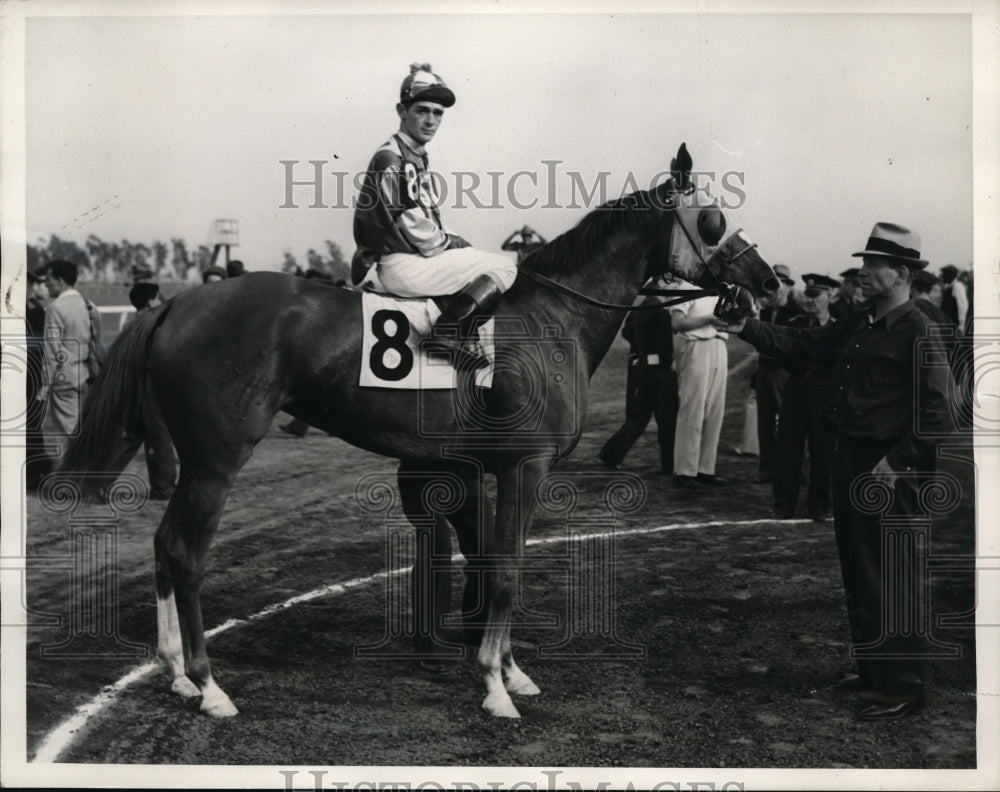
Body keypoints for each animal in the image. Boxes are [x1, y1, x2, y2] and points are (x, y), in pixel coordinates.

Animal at [58, 142, 780, 716]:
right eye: (714, 218)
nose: (766, 278)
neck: (555, 318)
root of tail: (178, 301)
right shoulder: (526, 466)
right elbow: (508, 569)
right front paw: (494, 688)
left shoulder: (486, 470)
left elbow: (494, 562)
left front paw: (511, 672)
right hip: (215, 458)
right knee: (184, 551)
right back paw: (208, 687)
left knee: (162, 545)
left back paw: (177, 675)